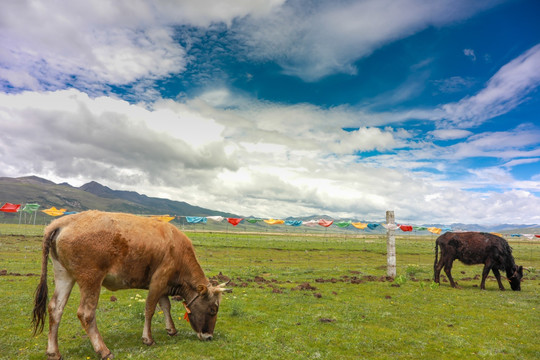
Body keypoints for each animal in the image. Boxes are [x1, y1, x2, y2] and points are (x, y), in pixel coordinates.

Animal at [31, 211, 230, 360]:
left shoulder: (163, 285)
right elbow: (150, 308)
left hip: (63, 274)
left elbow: (165, 306)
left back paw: (53, 352)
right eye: (213, 309)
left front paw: (171, 329)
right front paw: (148, 339)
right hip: (91, 279)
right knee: (86, 313)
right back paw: (103, 350)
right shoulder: (158, 280)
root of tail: (63, 222)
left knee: (55, 308)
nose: (209, 336)